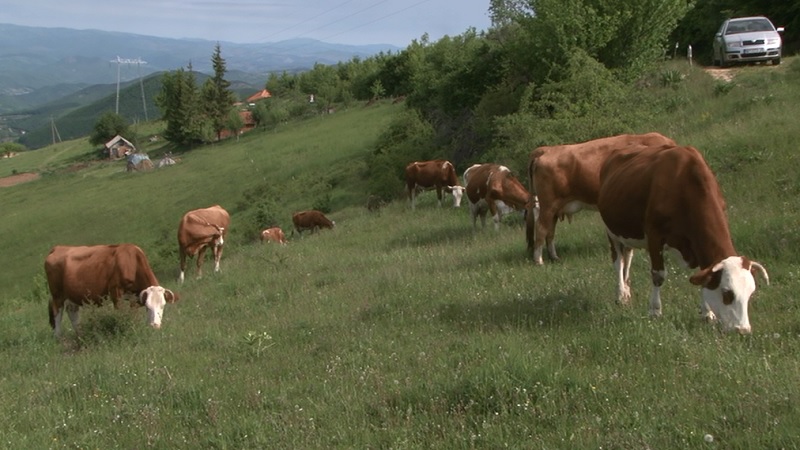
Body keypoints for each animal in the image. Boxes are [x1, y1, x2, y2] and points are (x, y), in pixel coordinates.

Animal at [43, 244, 178, 336]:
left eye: (163, 306)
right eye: (148, 306)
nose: (155, 326)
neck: (132, 262)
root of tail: (58, 248)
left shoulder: (133, 298)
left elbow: (133, 315)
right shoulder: (116, 292)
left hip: (71, 296)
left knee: (73, 314)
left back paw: (80, 335)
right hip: (57, 295)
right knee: (57, 315)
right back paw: (59, 338)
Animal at [528, 132, 680, 266]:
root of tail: (546, 150)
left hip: (554, 208)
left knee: (550, 232)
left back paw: (554, 257)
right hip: (548, 205)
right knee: (541, 228)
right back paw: (539, 261)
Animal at [600, 145, 768, 334]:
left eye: (750, 293)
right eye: (727, 293)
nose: (743, 330)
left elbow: (703, 277)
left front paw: (707, 314)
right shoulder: (654, 234)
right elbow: (658, 275)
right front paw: (654, 311)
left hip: (628, 234)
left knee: (627, 258)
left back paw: (626, 293)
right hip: (611, 232)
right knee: (618, 262)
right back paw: (620, 295)